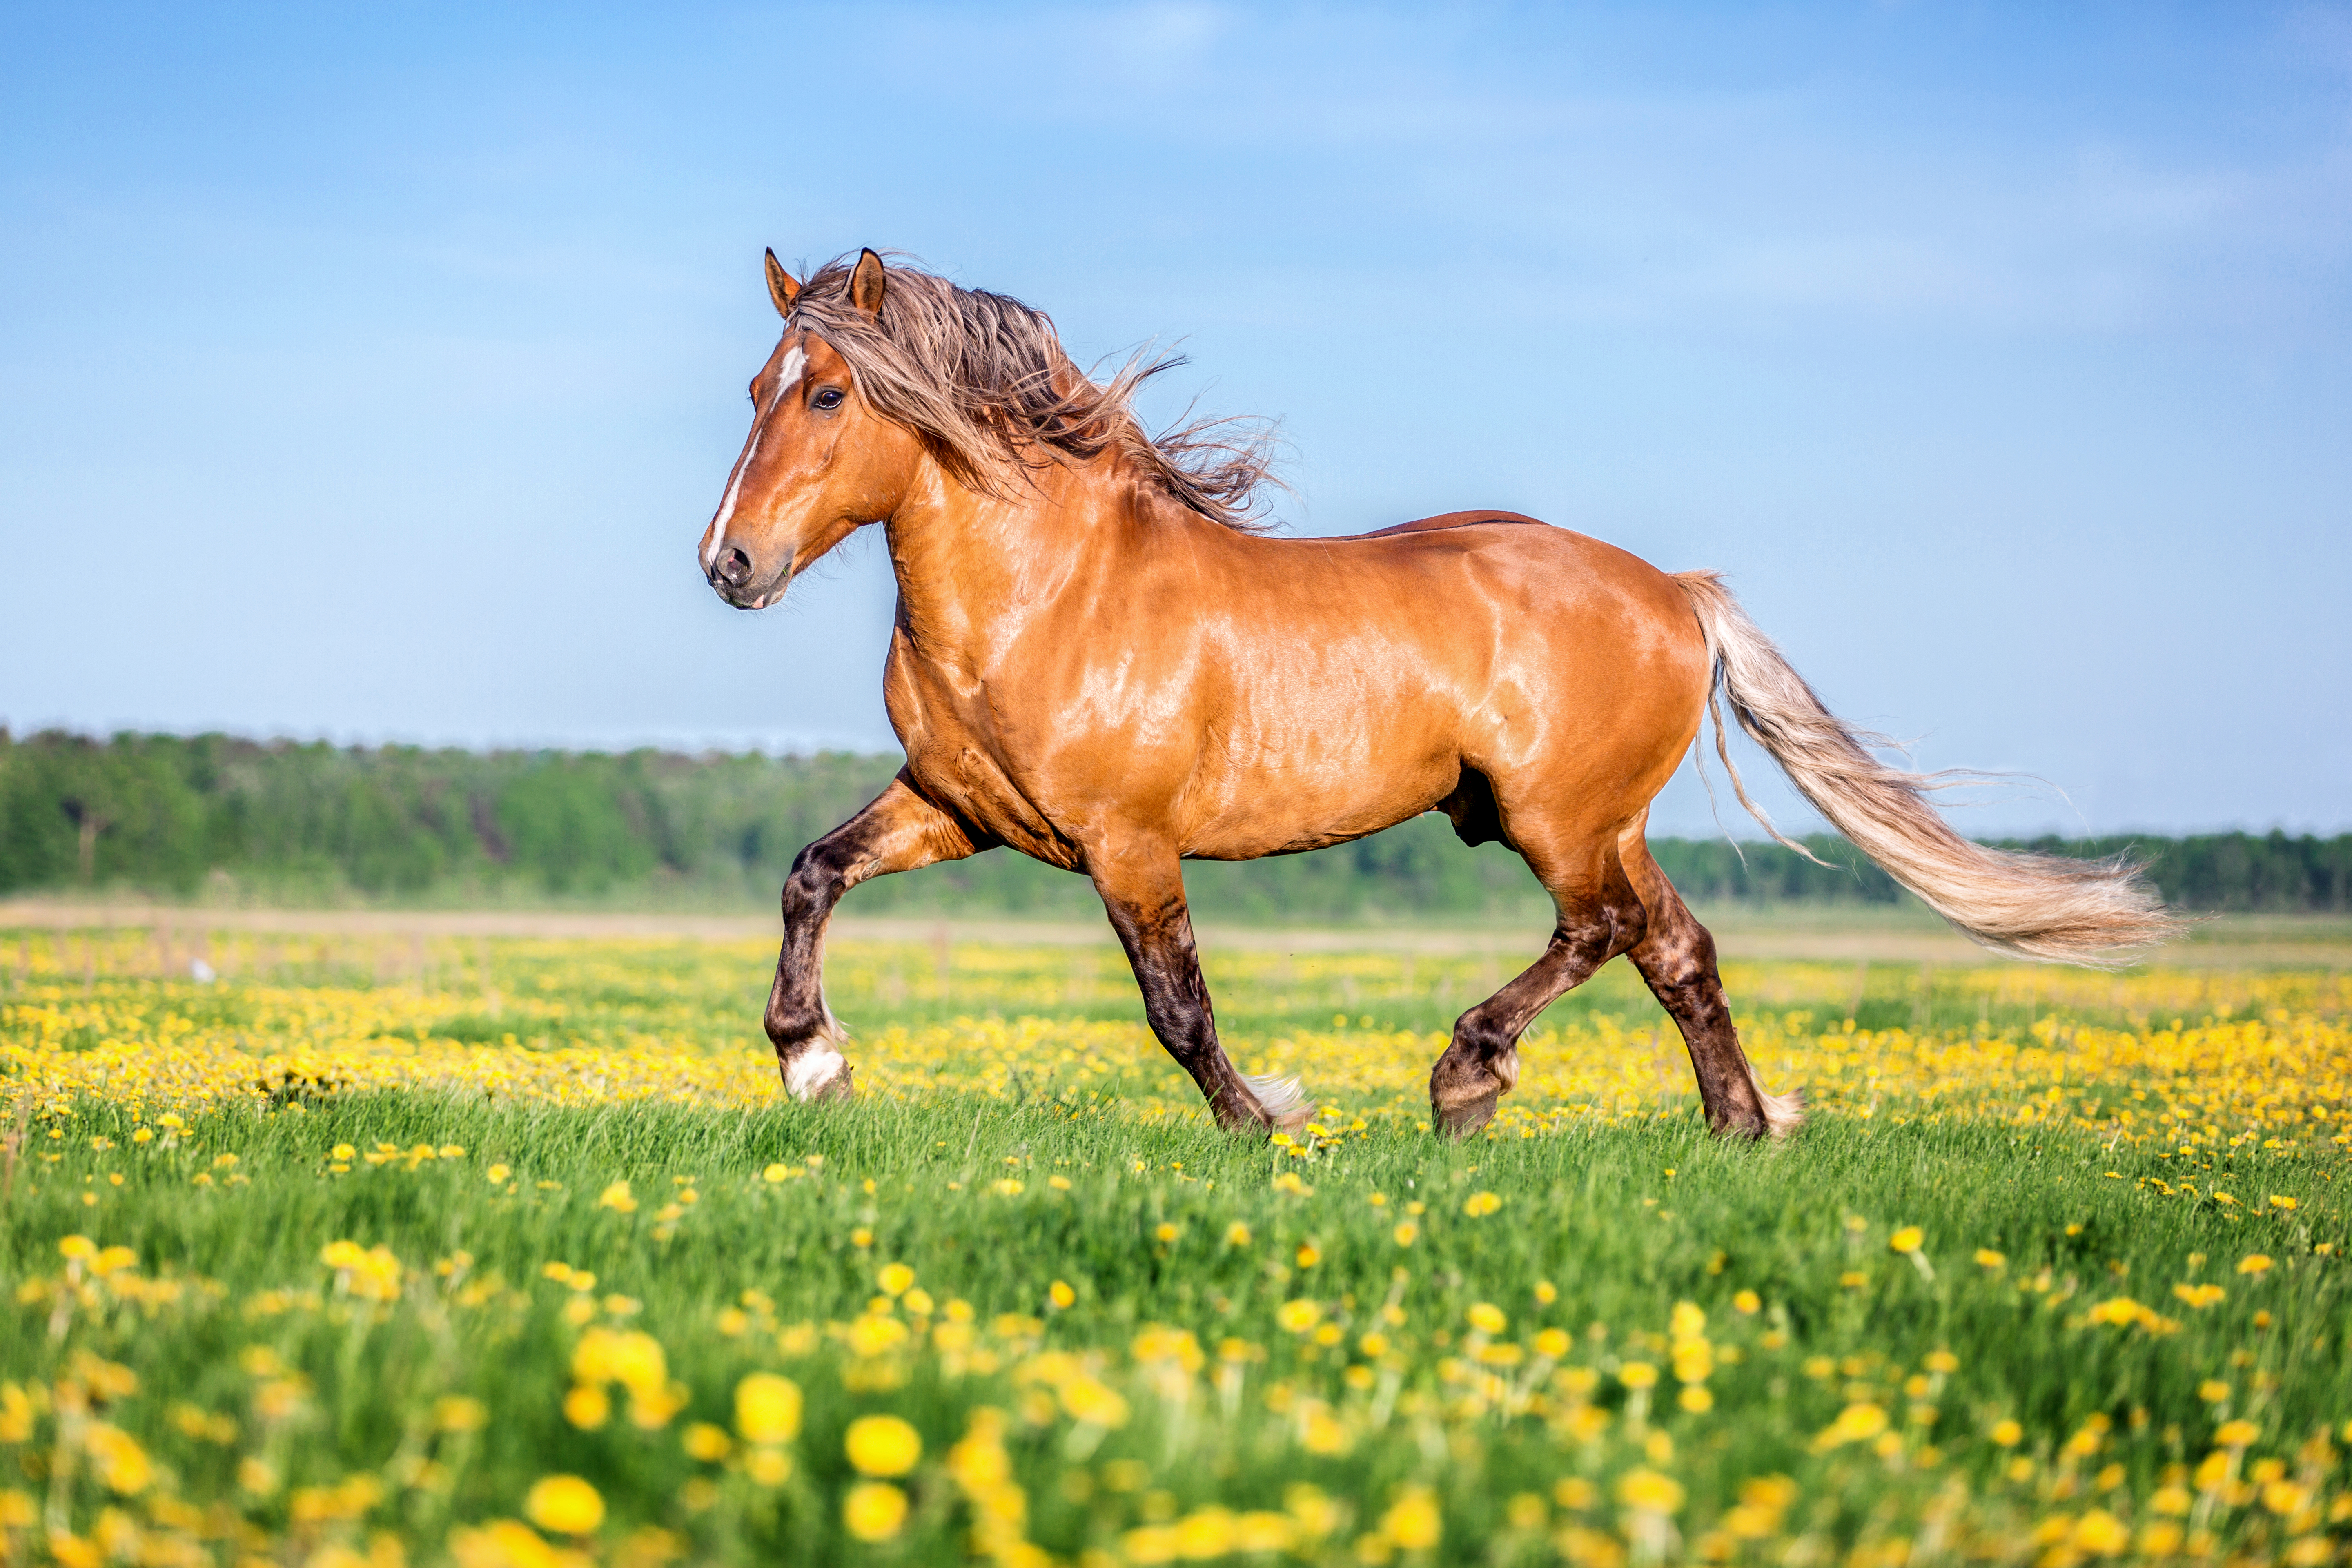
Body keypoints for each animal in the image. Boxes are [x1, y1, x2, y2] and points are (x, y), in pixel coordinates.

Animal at [698, 248, 2174, 1139]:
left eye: (829, 396)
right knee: (1676, 949)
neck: (1052, 594)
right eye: (756, 385)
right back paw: (1739, 1127)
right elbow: (811, 875)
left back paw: (1469, 1078)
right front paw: (811, 1061)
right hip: (1603, 822)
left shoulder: (1130, 844)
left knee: (1600, 935)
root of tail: (1676, 592)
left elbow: (1180, 1008)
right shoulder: (962, 808)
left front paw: (1266, 1118)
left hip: (1555, 817)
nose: (729, 563)